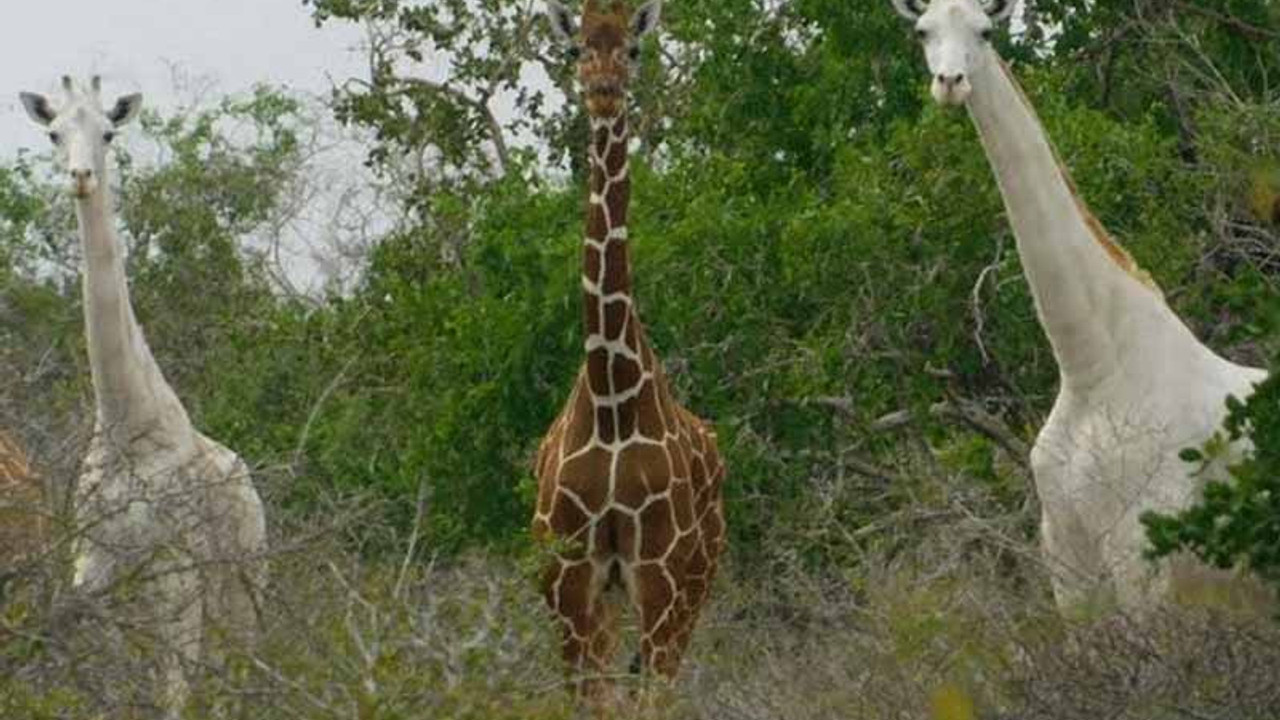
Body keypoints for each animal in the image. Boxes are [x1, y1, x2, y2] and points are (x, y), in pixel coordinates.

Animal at [20, 75, 267, 712]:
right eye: (55, 133)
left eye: (109, 132)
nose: (81, 176)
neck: (127, 418)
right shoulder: (95, 569)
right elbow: (111, 689)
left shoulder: (176, 570)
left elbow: (173, 695)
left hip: (243, 580)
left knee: (234, 678)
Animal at [532, 0, 732, 702]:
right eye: (576, 48)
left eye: (634, 50)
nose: (603, 87)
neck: (611, 393)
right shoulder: (570, 580)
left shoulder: (659, 573)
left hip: (695, 584)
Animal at [890, 0, 1269, 607]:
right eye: (923, 31)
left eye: (986, 32)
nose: (950, 83)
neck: (1093, 368)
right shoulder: (1066, 562)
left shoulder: (1142, 560)